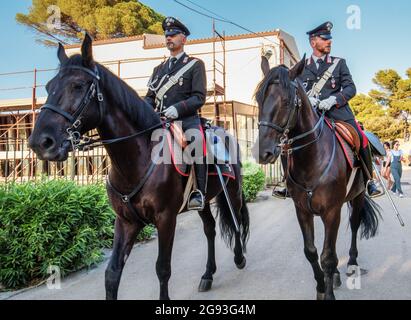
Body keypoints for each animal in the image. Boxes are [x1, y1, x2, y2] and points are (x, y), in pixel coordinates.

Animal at [29, 35, 249, 300]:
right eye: (48, 86)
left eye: (78, 86)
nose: (40, 142)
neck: (135, 160)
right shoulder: (125, 221)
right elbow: (112, 273)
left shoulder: (166, 219)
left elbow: (163, 268)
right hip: (203, 200)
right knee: (210, 229)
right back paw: (208, 275)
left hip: (233, 191)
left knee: (236, 219)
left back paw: (239, 257)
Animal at [254, 55, 384, 300]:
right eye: (258, 99)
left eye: (286, 101)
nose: (262, 152)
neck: (311, 159)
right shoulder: (303, 211)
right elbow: (312, 252)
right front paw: (322, 287)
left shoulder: (331, 211)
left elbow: (329, 257)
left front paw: (329, 293)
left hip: (358, 196)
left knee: (354, 226)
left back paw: (352, 264)